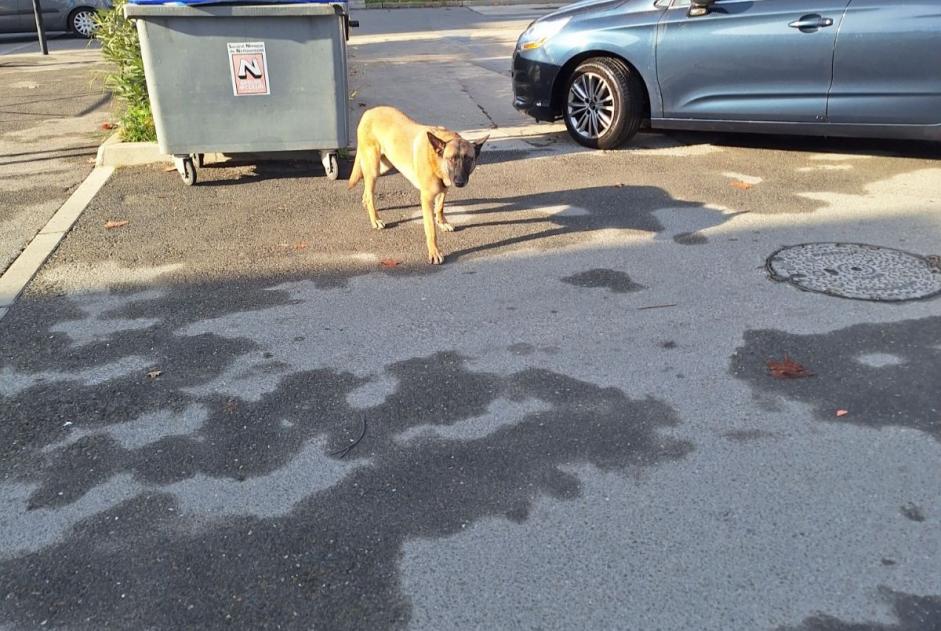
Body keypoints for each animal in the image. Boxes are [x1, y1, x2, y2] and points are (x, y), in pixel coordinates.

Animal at [348, 106, 488, 264]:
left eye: (469, 159)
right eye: (452, 159)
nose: (459, 182)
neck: (436, 160)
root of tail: (369, 111)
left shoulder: (443, 191)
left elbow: (440, 208)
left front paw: (442, 222)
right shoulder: (426, 199)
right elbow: (431, 229)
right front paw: (434, 252)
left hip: (383, 167)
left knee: (366, 191)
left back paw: (366, 204)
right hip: (373, 167)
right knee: (370, 194)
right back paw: (375, 219)